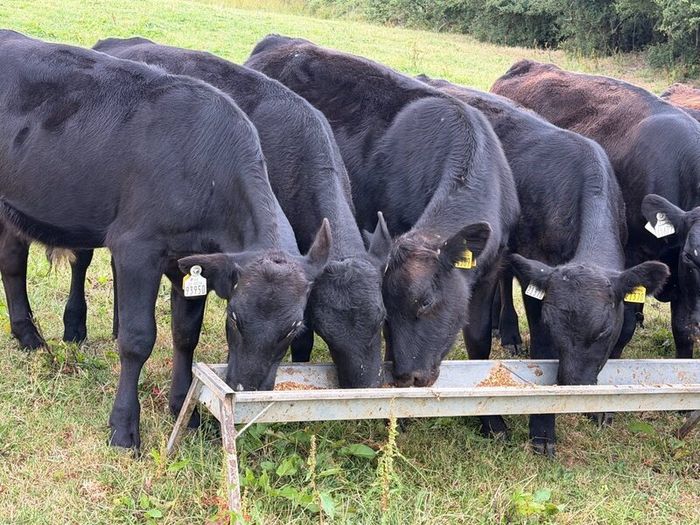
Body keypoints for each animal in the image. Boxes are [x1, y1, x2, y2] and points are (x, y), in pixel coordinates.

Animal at [0, 30, 332, 449]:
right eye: (234, 318)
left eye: (294, 329)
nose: (247, 390)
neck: (208, 174)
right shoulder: (136, 247)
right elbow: (137, 338)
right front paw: (124, 427)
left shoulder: (192, 262)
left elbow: (185, 334)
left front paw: (184, 408)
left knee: (12, 261)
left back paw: (28, 336)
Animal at [246, 35, 520, 420]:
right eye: (388, 312)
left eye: (426, 302)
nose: (408, 376)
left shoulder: (491, 271)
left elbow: (479, 341)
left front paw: (492, 422)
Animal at [417, 74, 669, 454]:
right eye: (553, 326)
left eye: (604, 331)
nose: (575, 386)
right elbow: (542, 349)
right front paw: (543, 429)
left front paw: (601, 409)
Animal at [493, 60, 700, 360]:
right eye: (692, 258)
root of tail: (526, 65)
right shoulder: (635, 253)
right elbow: (625, 326)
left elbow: (683, 330)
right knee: (505, 274)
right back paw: (507, 331)